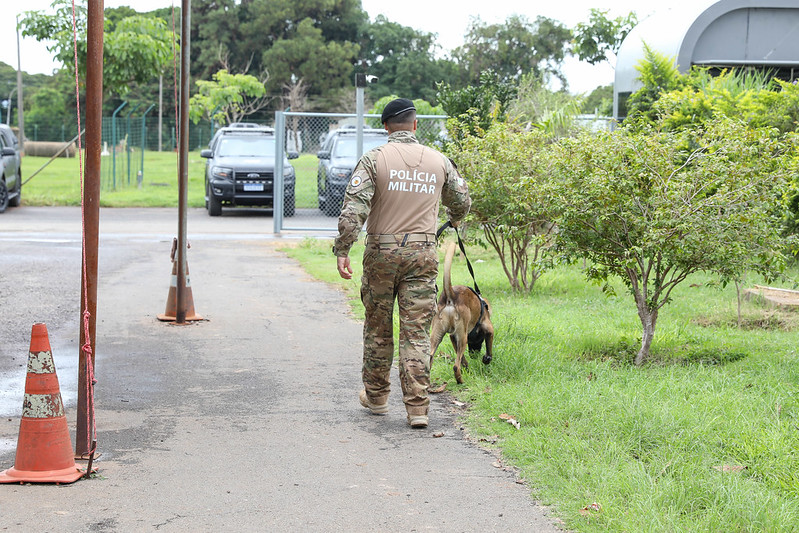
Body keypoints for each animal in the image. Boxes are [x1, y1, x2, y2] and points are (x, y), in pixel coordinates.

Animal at [432, 241, 494, 382]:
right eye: (479, 340)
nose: (474, 355)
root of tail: (451, 296)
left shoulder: (452, 337)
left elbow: (461, 359)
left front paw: (467, 365)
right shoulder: (488, 328)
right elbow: (489, 345)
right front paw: (487, 359)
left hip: (437, 335)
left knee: (430, 357)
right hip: (462, 337)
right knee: (455, 367)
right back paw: (460, 381)